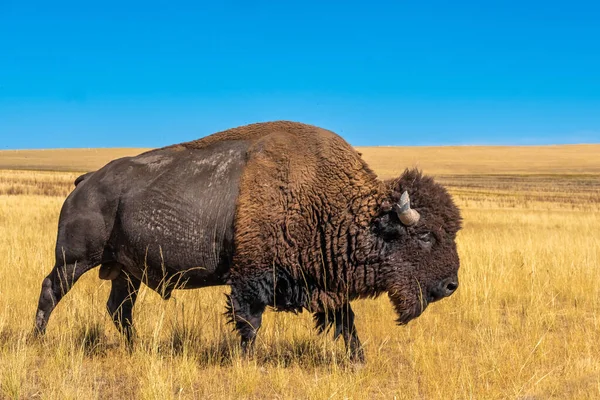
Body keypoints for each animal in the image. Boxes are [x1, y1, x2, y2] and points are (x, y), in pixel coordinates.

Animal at [35, 120, 462, 360]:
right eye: (425, 235)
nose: (451, 285)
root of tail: (85, 181)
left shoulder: (325, 283)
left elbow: (346, 322)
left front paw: (359, 361)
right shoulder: (251, 279)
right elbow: (249, 322)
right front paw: (245, 360)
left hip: (126, 271)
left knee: (119, 309)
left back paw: (135, 348)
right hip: (74, 260)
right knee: (52, 290)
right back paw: (37, 339)